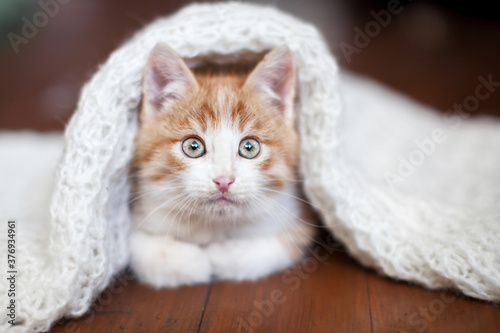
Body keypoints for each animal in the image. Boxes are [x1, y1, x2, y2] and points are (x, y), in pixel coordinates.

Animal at [129, 42, 316, 286]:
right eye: (193, 147)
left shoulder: (296, 214)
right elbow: (140, 248)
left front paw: (222, 255)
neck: (215, 224)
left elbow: (280, 246)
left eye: (249, 147)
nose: (224, 181)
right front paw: (193, 262)